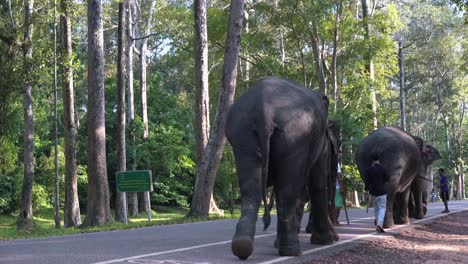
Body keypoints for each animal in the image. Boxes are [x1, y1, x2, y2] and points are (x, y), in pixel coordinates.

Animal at [226, 76, 336, 260]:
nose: (336, 238)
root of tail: (264, 109)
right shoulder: (321, 143)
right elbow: (317, 180)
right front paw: (325, 241)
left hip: (242, 133)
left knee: (251, 190)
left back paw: (242, 246)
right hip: (294, 135)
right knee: (287, 191)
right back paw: (292, 250)